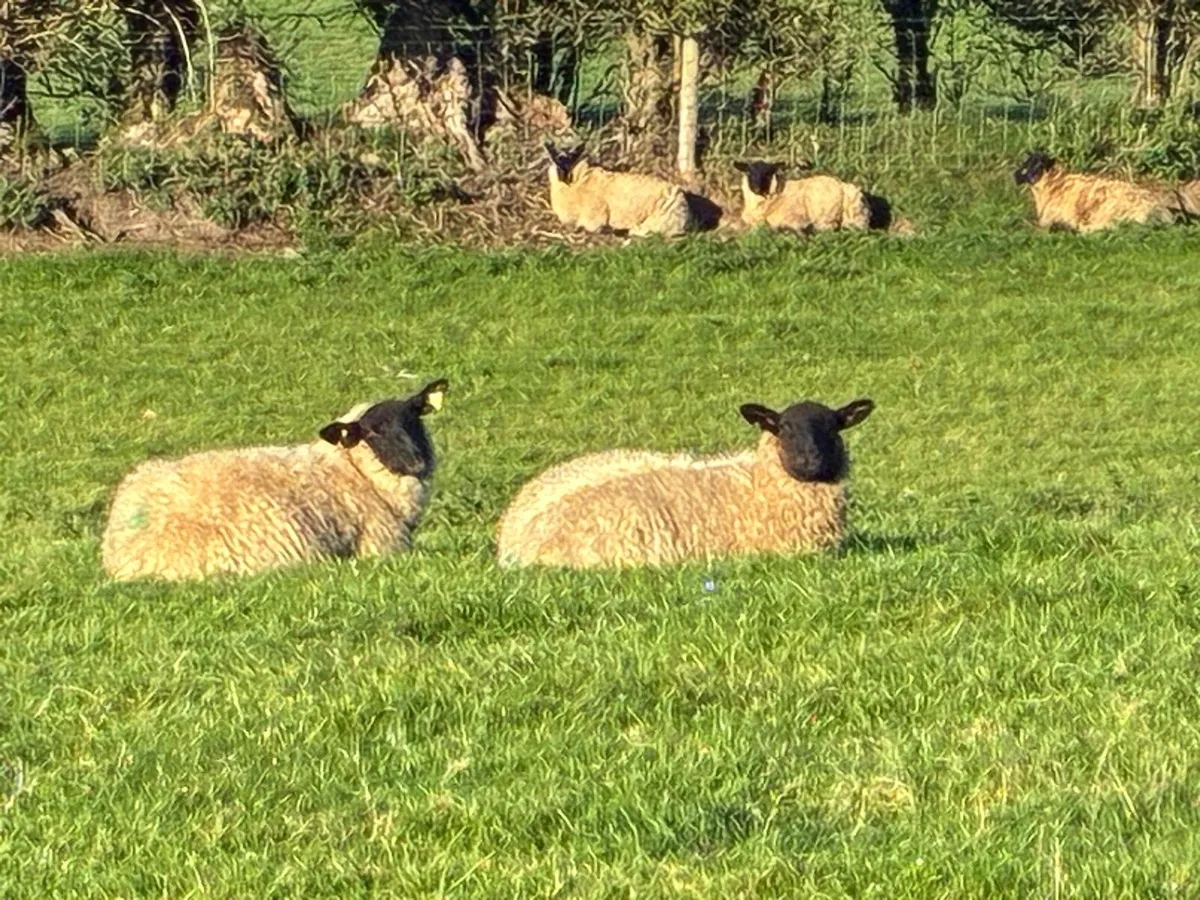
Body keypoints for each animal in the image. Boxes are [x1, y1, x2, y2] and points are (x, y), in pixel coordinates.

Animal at [544, 140, 696, 237]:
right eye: (557, 158)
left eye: (569, 159)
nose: (562, 171)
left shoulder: (594, 219)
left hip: (659, 220)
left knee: (648, 231)